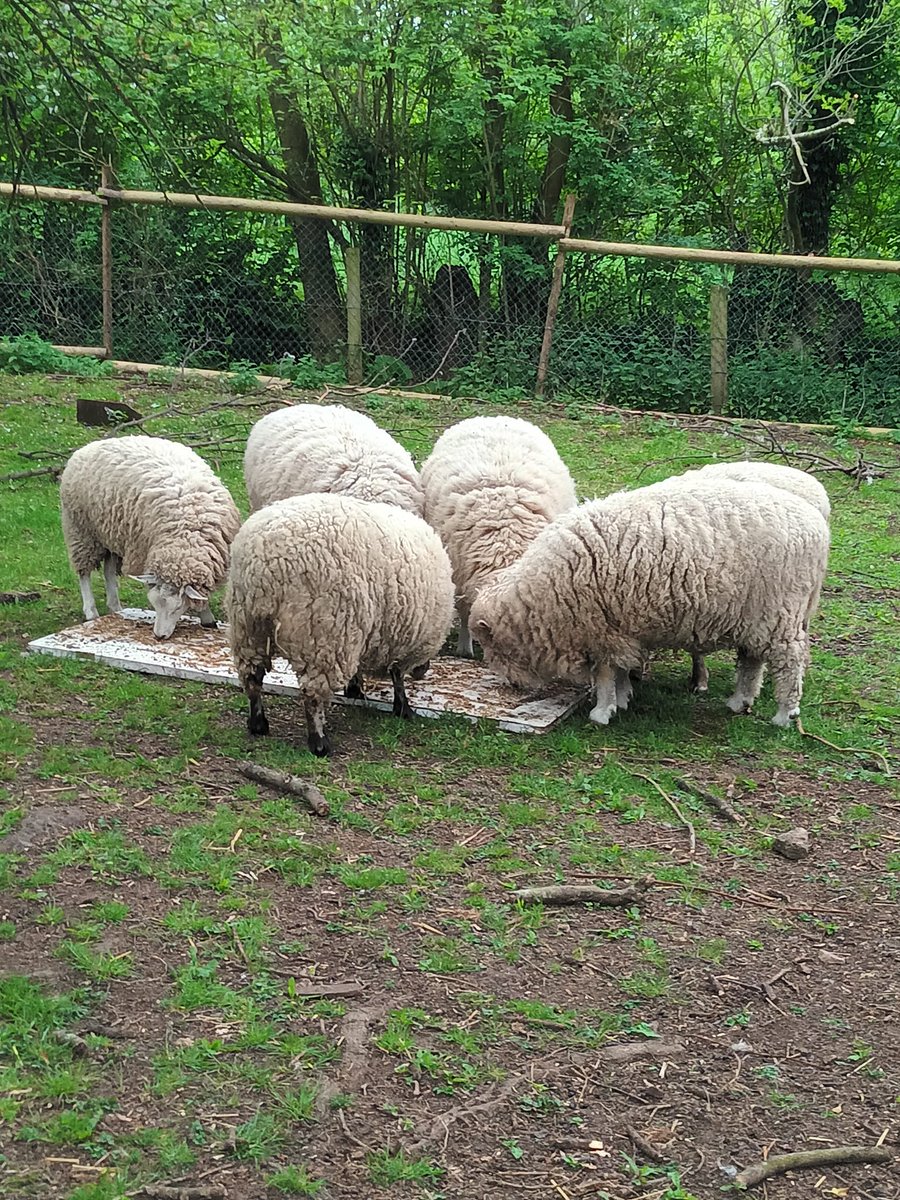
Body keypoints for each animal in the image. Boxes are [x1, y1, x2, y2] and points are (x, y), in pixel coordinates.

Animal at [59, 435, 241, 639]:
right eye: (154, 604)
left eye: (176, 609)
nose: (159, 636)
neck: (187, 535)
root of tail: (88, 447)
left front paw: (207, 618)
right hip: (81, 530)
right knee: (84, 573)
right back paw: (91, 611)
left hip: (110, 533)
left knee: (108, 570)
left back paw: (115, 607)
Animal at [226, 493, 455, 756]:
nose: (423, 671)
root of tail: (264, 561)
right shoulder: (400, 638)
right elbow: (397, 675)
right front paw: (403, 708)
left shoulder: (363, 633)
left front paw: (355, 688)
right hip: (323, 634)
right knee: (313, 695)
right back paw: (319, 743)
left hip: (247, 626)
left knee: (252, 677)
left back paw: (258, 724)